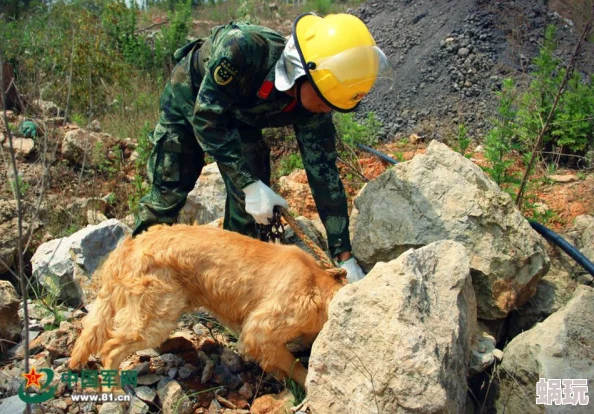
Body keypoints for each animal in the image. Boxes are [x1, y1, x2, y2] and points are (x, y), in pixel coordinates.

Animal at [67, 225, 344, 386]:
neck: (317, 284)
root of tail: (131, 245)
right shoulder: (259, 330)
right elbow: (296, 365)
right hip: (156, 317)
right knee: (110, 349)